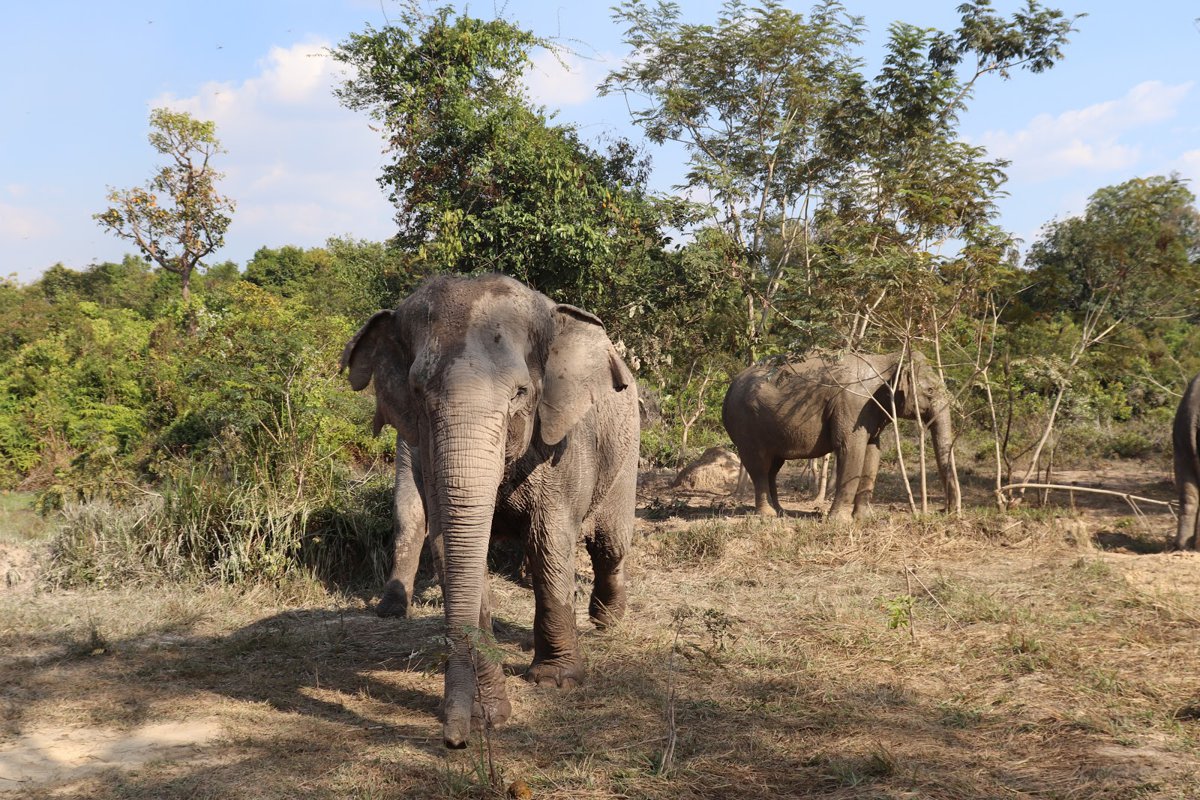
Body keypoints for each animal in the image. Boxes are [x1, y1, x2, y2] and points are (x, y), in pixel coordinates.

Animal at [342, 274, 639, 749]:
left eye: (521, 392)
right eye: (418, 392)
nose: (455, 741)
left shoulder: (562, 447)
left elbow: (549, 540)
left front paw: (555, 682)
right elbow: (452, 548)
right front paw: (488, 715)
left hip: (626, 450)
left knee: (610, 544)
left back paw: (607, 621)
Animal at [722, 350, 960, 520]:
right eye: (930, 391)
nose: (945, 512)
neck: (884, 360)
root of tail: (730, 387)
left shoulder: (870, 411)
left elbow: (873, 451)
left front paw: (864, 518)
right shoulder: (853, 404)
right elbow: (850, 448)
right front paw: (839, 521)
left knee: (773, 466)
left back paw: (781, 512)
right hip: (745, 425)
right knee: (760, 466)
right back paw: (768, 514)